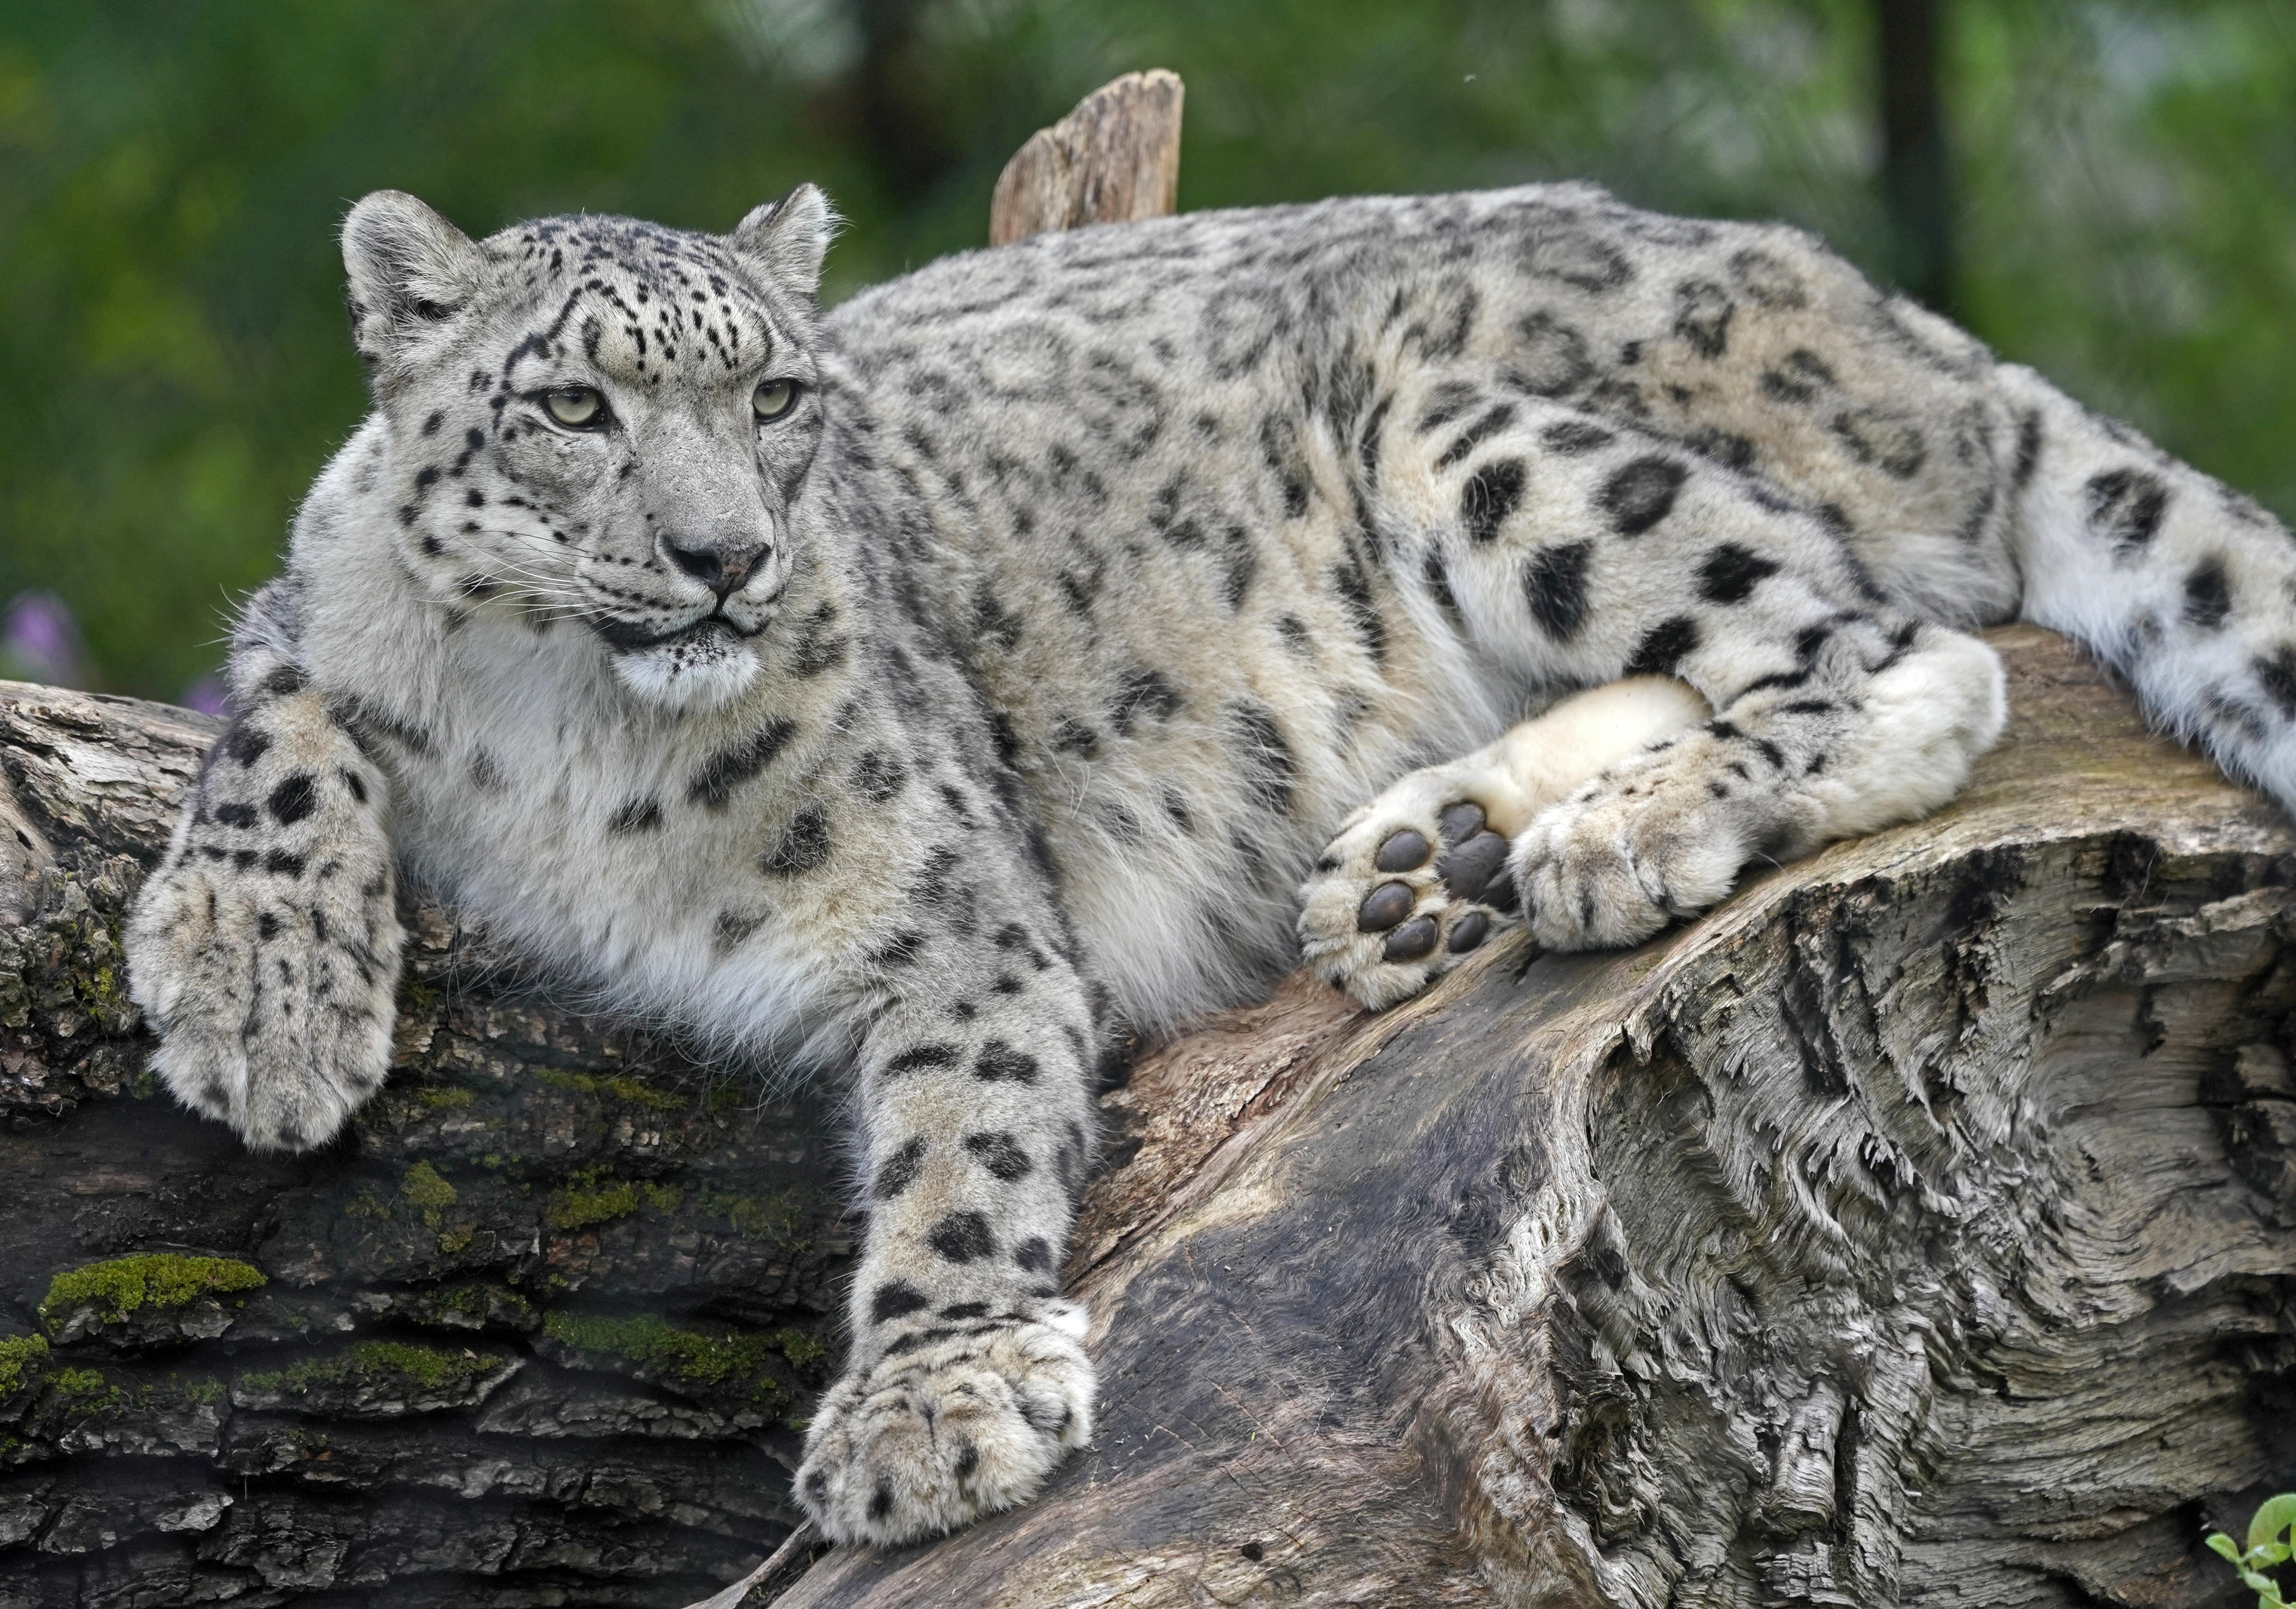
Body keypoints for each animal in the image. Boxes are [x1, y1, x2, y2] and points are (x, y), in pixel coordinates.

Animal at [116, 175, 2296, 1542]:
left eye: (776, 395)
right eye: (573, 402)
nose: (725, 553)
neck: (583, 723)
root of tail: (1899, 322)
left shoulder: (960, 914)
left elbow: (959, 1143)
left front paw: (932, 1403)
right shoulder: (303, 615)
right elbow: (282, 712)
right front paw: (259, 985)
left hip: (1485, 436)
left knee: (1890, 644)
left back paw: (1616, 837)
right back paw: (1430, 861)